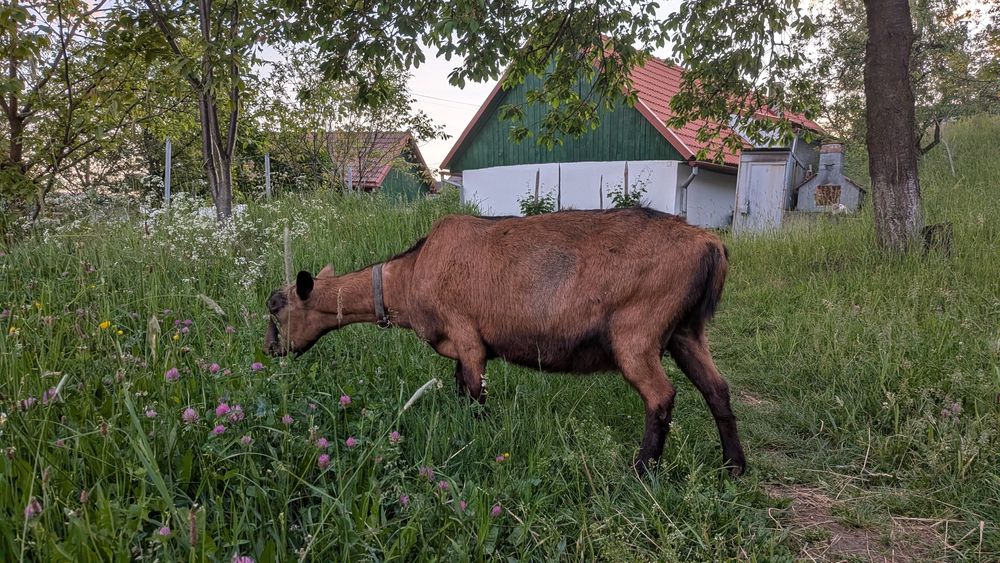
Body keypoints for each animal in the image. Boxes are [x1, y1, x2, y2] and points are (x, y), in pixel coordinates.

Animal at [264, 208, 746, 476]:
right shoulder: (460, 349)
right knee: (717, 390)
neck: (412, 272)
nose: (269, 351)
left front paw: (478, 449)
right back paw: (734, 468)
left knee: (661, 396)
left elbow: (476, 399)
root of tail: (711, 245)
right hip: (686, 332)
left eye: (275, 308)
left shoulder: (467, 336)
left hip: (637, 334)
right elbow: (461, 393)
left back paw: (642, 472)